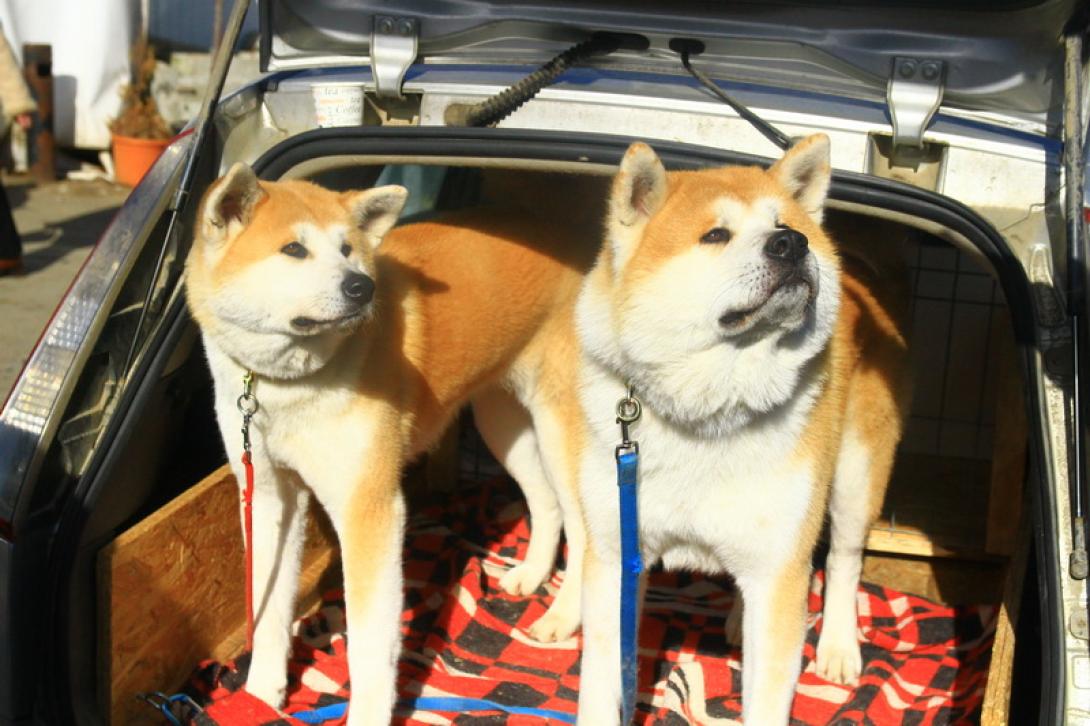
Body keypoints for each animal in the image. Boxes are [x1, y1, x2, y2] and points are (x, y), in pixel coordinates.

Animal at [185, 165, 597, 723]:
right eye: (293, 249)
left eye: (348, 249)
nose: (361, 287)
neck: (288, 387)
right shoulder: (272, 495)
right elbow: (268, 612)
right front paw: (259, 697)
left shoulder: (370, 508)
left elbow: (368, 645)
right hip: (502, 421)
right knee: (546, 502)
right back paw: (531, 575)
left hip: (560, 431)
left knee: (586, 530)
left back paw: (563, 617)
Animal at [534, 134, 911, 719]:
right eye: (715, 234)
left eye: (785, 224)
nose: (793, 243)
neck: (708, 414)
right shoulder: (618, 557)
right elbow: (600, 685)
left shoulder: (779, 569)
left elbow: (768, 696)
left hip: (855, 475)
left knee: (844, 560)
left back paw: (837, 646)